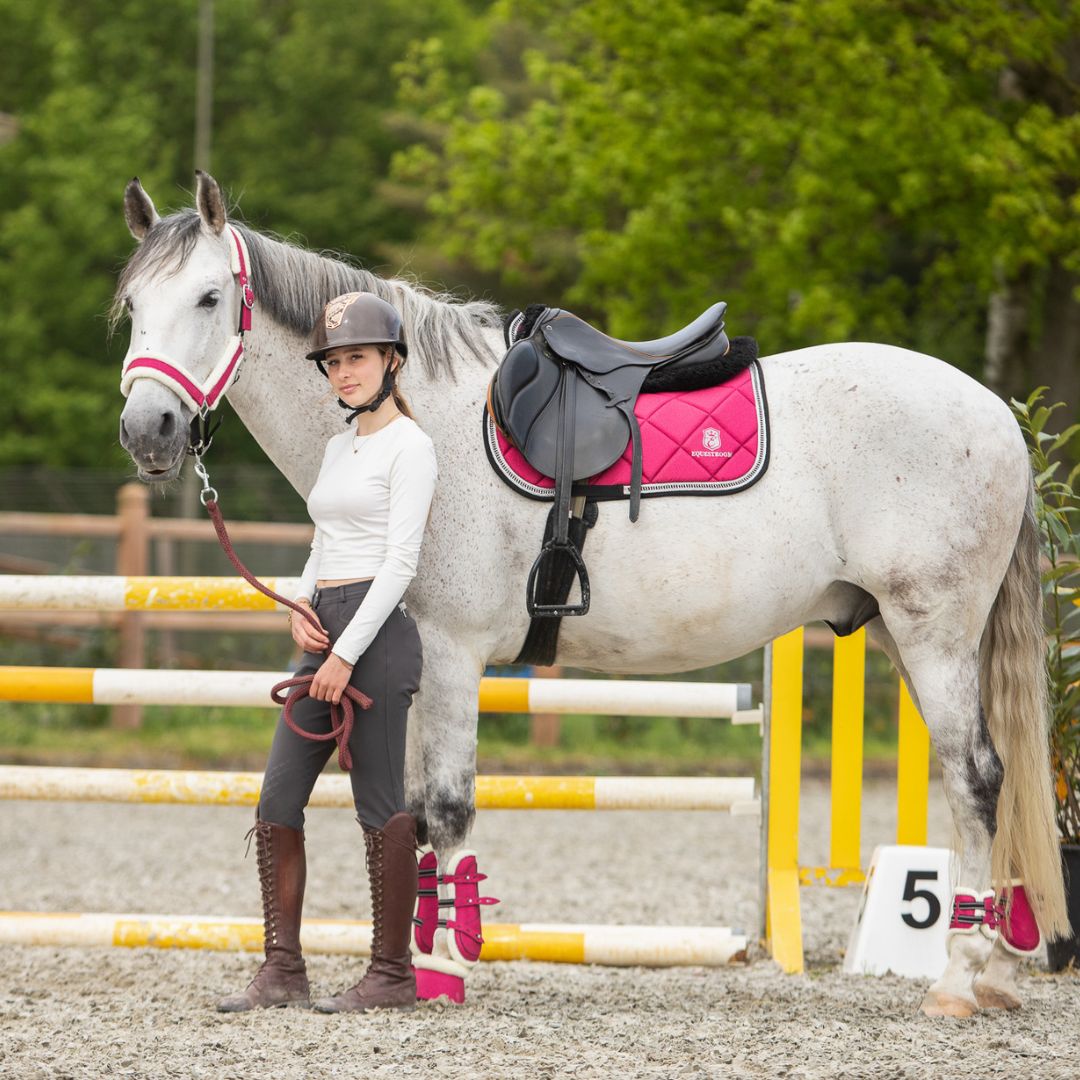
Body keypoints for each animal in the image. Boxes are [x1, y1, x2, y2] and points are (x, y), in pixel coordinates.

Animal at [116, 172, 1062, 1015]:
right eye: (132, 306)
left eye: (209, 298)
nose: (146, 430)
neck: (421, 421)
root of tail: (995, 413)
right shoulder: (413, 663)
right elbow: (411, 817)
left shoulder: (454, 656)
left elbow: (446, 811)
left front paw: (442, 973)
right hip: (913, 638)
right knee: (995, 783)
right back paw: (998, 973)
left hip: (934, 635)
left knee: (978, 780)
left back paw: (957, 980)